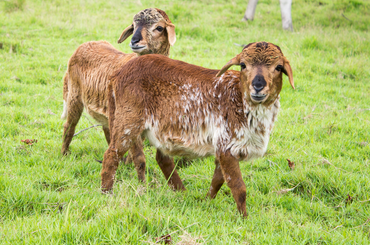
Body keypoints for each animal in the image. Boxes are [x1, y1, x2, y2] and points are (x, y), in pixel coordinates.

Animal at [61, 8, 176, 182]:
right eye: (133, 25)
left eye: (159, 28)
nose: (134, 41)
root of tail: (85, 44)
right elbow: (140, 158)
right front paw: (142, 184)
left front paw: (127, 166)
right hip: (74, 96)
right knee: (69, 126)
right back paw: (64, 154)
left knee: (107, 130)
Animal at [99, 41, 294, 217]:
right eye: (243, 65)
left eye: (278, 67)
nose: (258, 86)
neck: (241, 100)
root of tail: (117, 73)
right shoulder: (226, 145)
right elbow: (238, 187)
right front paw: (244, 218)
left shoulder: (224, 147)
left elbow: (218, 180)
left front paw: (206, 201)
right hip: (128, 120)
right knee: (112, 154)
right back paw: (106, 193)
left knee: (162, 159)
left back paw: (181, 192)